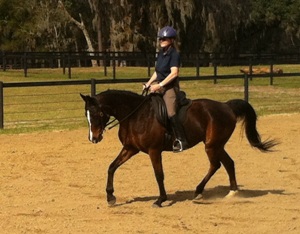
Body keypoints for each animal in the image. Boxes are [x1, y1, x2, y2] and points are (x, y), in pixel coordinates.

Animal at [81, 89, 278, 207]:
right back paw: (229, 192)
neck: (135, 115)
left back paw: (203, 191)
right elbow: (111, 167)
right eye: (87, 115)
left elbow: (159, 175)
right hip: (216, 145)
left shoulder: (154, 151)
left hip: (212, 145)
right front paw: (110, 197)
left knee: (217, 164)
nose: (93, 138)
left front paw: (160, 200)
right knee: (227, 163)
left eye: (97, 113)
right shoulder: (130, 149)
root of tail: (226, 106)